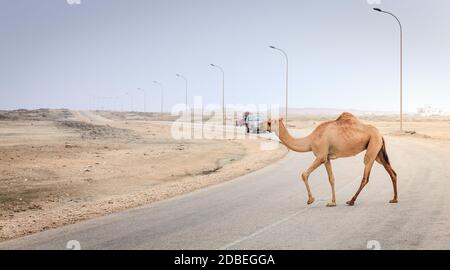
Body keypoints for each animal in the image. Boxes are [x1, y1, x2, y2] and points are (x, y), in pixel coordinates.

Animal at [266, 112, 400, 207]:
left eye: (268, 122)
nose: (261, 127)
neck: (310, 140)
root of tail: (381, 134)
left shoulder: (320, 156)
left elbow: (304, 174)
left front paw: (310, 200)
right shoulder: (326, 158)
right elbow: (331, 179)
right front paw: (332, 202)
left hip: (373, 145)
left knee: (366, 176)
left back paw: (351, 201)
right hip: (379, 151)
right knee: (392, 172)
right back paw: (394, 199)